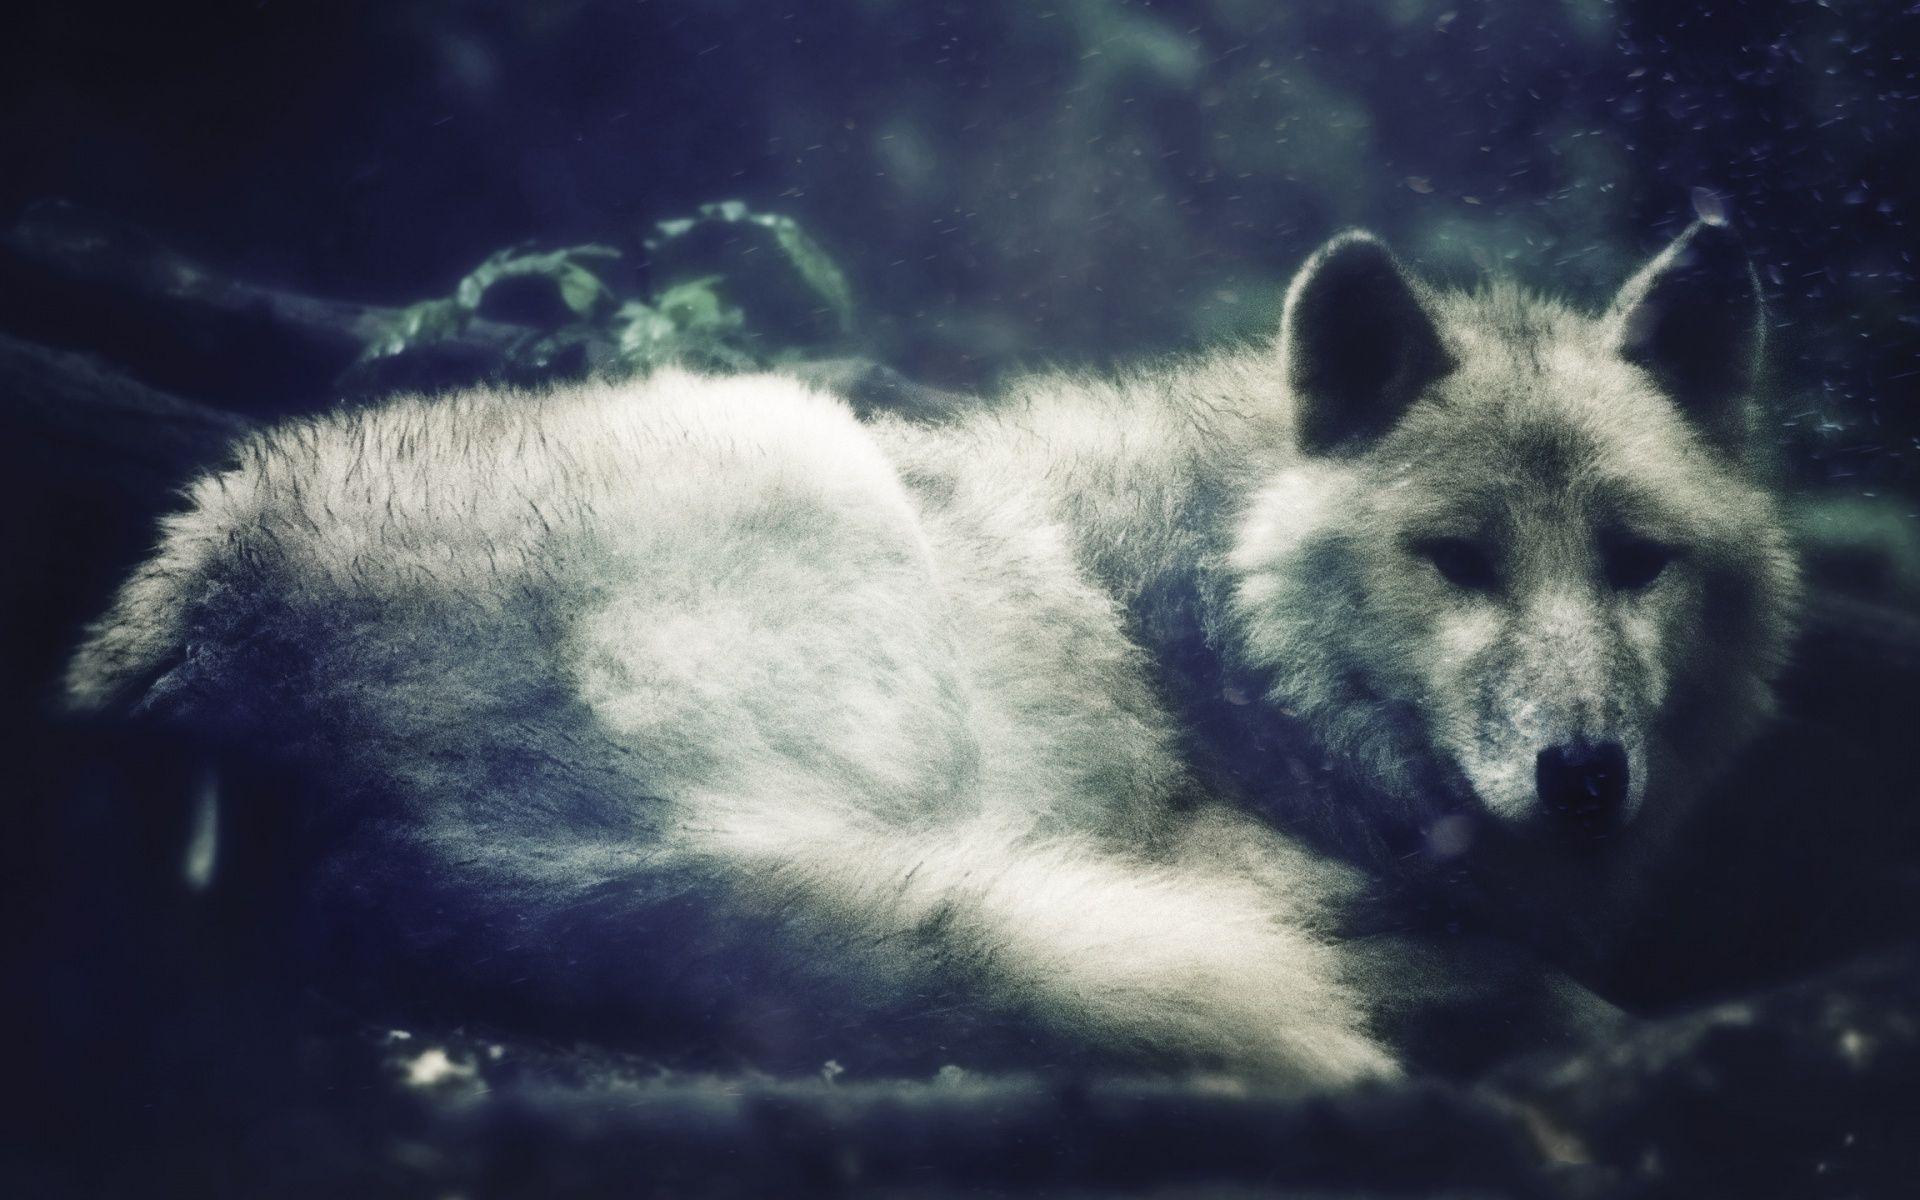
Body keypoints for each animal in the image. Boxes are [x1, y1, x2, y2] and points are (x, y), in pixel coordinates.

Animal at [63, 221, 1797, 1085]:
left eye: (1638, 561)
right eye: (1458, 561)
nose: (1585, 776)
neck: (1218, 620)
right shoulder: (1221, 854)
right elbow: (1514, 977)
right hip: (832, 520)